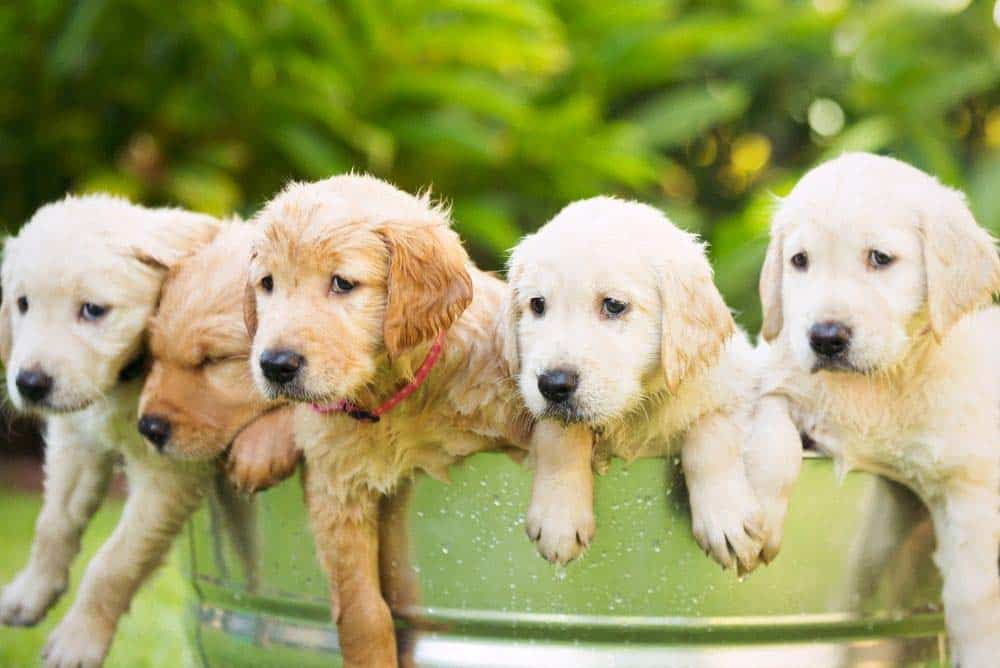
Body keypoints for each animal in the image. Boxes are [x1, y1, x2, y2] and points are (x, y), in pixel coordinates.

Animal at [0, 194, 220, 668]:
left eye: (93, 310)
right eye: (23, 304)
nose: (29, 383)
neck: (128, 379)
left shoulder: (170, 474)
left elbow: (114, 561)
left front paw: (77, 640)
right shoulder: (78, 439)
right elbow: (53, 521)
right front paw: (30, 593)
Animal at [243, 174, 536, 668]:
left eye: (342, 283)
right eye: (267, 283)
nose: (275, 365)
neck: (390, 398)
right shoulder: (337, 485)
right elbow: (363, 608)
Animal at [504, 196, 800, 572]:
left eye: (614, 305)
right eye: (537, 304)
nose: (553, 385)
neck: (634, 407)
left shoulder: (738, 391)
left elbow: (710, 427)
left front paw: (726, 518)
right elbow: (559, 432)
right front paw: (559, 517)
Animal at [756, 153, 1000, 668]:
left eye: (880, 259)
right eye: (799, 261)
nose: (826, 338)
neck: (882, 382)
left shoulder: (972, 487)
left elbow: (973, 597)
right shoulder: (782, 379)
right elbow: (769, 426)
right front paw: (757, 516)